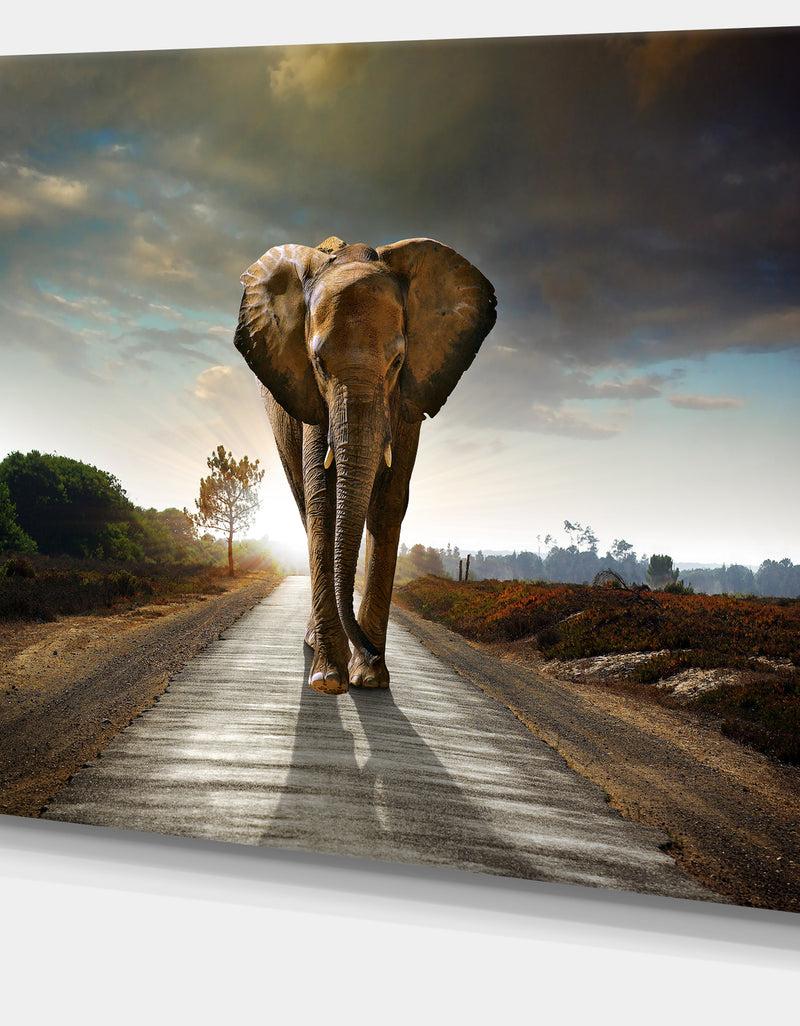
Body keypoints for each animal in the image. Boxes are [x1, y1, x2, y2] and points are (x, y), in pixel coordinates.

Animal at [234, 235, 496, 695]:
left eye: (396, 363)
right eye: (318, 364)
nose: (371, 650)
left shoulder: (410, 395)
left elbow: (389, 502)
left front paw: (370, 679)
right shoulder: (310, 397)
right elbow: (323, 500)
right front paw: (328, 680)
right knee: (304, 506)